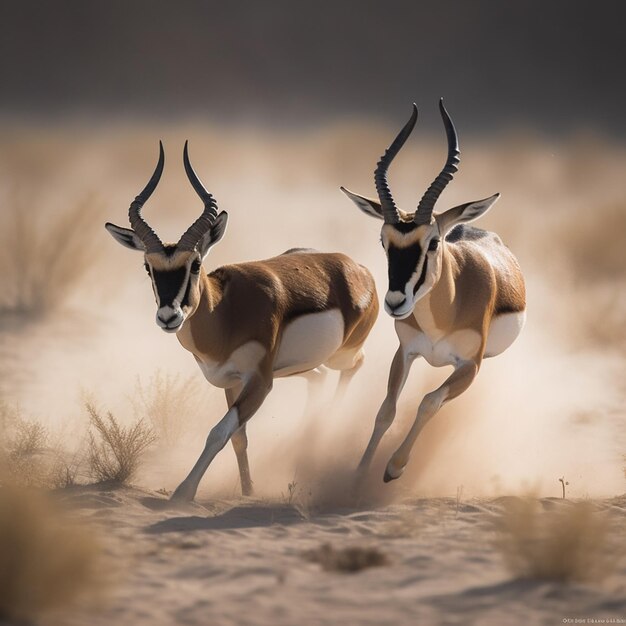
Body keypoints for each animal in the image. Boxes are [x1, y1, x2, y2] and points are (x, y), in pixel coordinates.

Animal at [104, 140, 376, 498]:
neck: (225, 312)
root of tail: (358, 268)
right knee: (318, 379)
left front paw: (183, 492)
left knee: (355, 366)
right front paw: (247, 490)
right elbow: (237, 438)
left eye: (195, 264)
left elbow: (218, 432)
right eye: (149, 267)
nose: (168, 316)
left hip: (340, 356)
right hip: (299, 367)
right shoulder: (233, 381)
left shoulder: (260, 381)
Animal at [338, 101, 524, 482]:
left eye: (433, 242)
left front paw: (393, 467)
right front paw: (360, 472)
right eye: (384, 241)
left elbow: (428, 401)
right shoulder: (405, 352)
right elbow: (386, 410)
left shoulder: (470, 367)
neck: (444, 314)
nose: (396, 302)